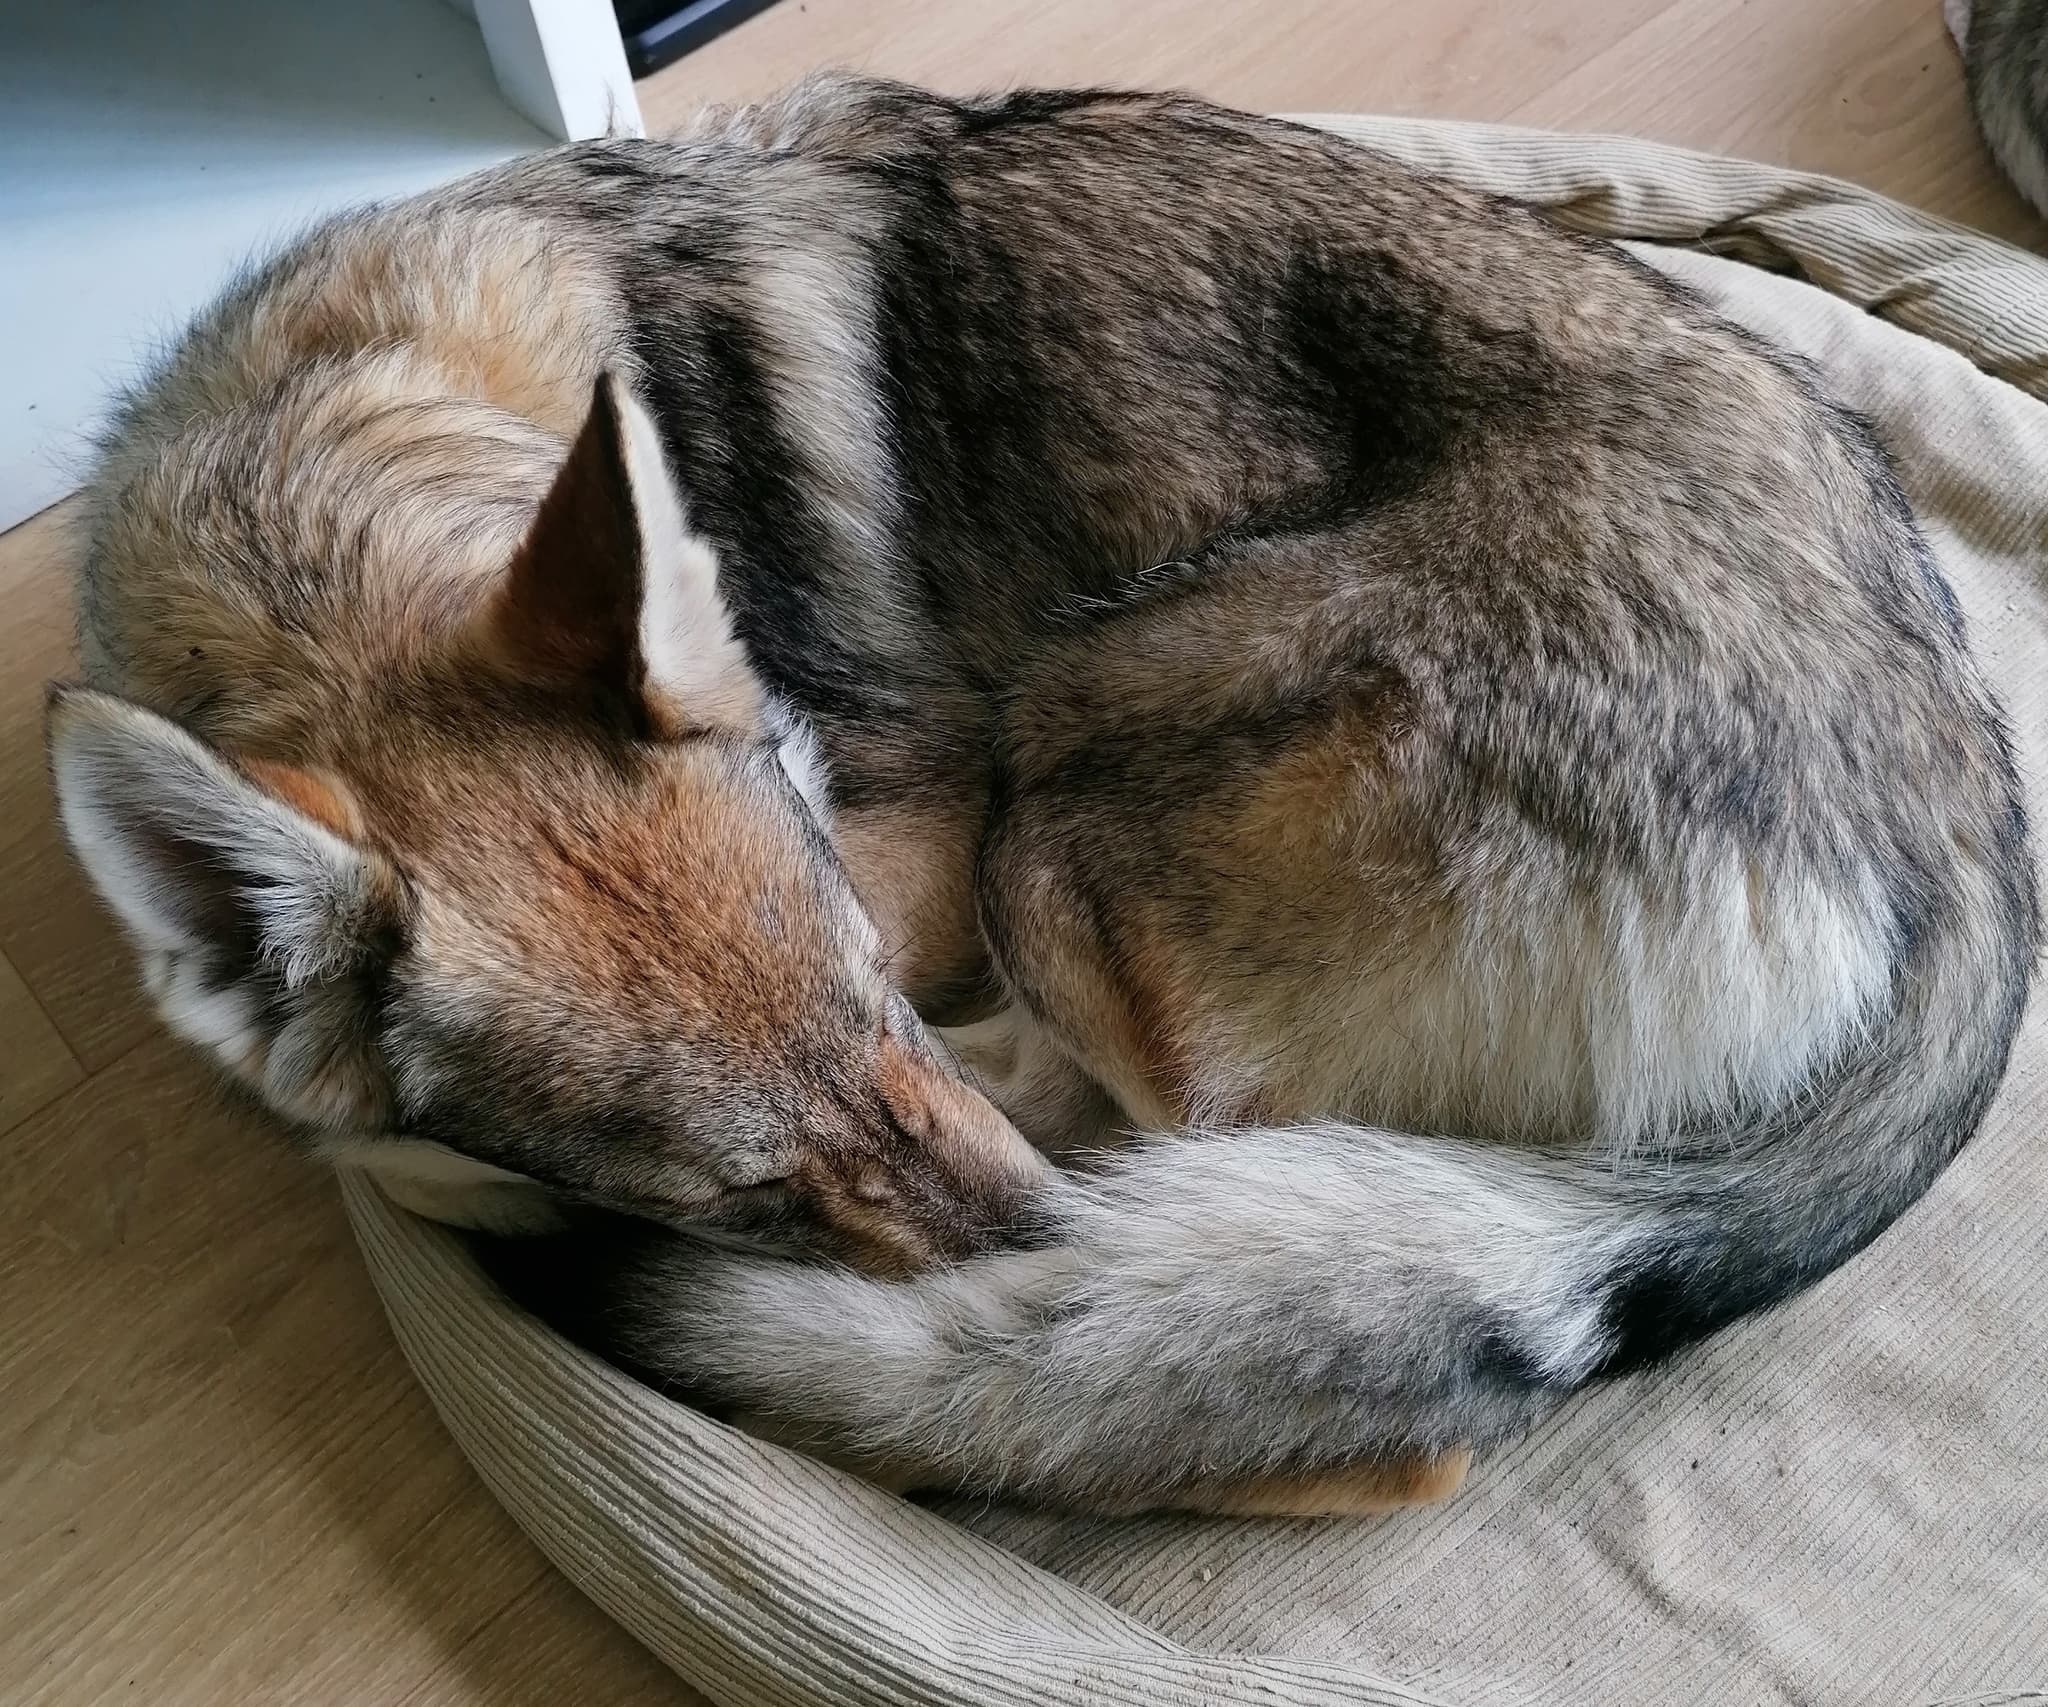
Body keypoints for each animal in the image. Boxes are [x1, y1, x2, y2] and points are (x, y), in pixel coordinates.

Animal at [47, 76, 2036, 1515]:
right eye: (746, 1189)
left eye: (874, 984)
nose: (1028, 1258)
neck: (309, 495)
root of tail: (1959, 832)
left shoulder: (926, 843)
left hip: (1066, 786)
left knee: (1324, 1400)